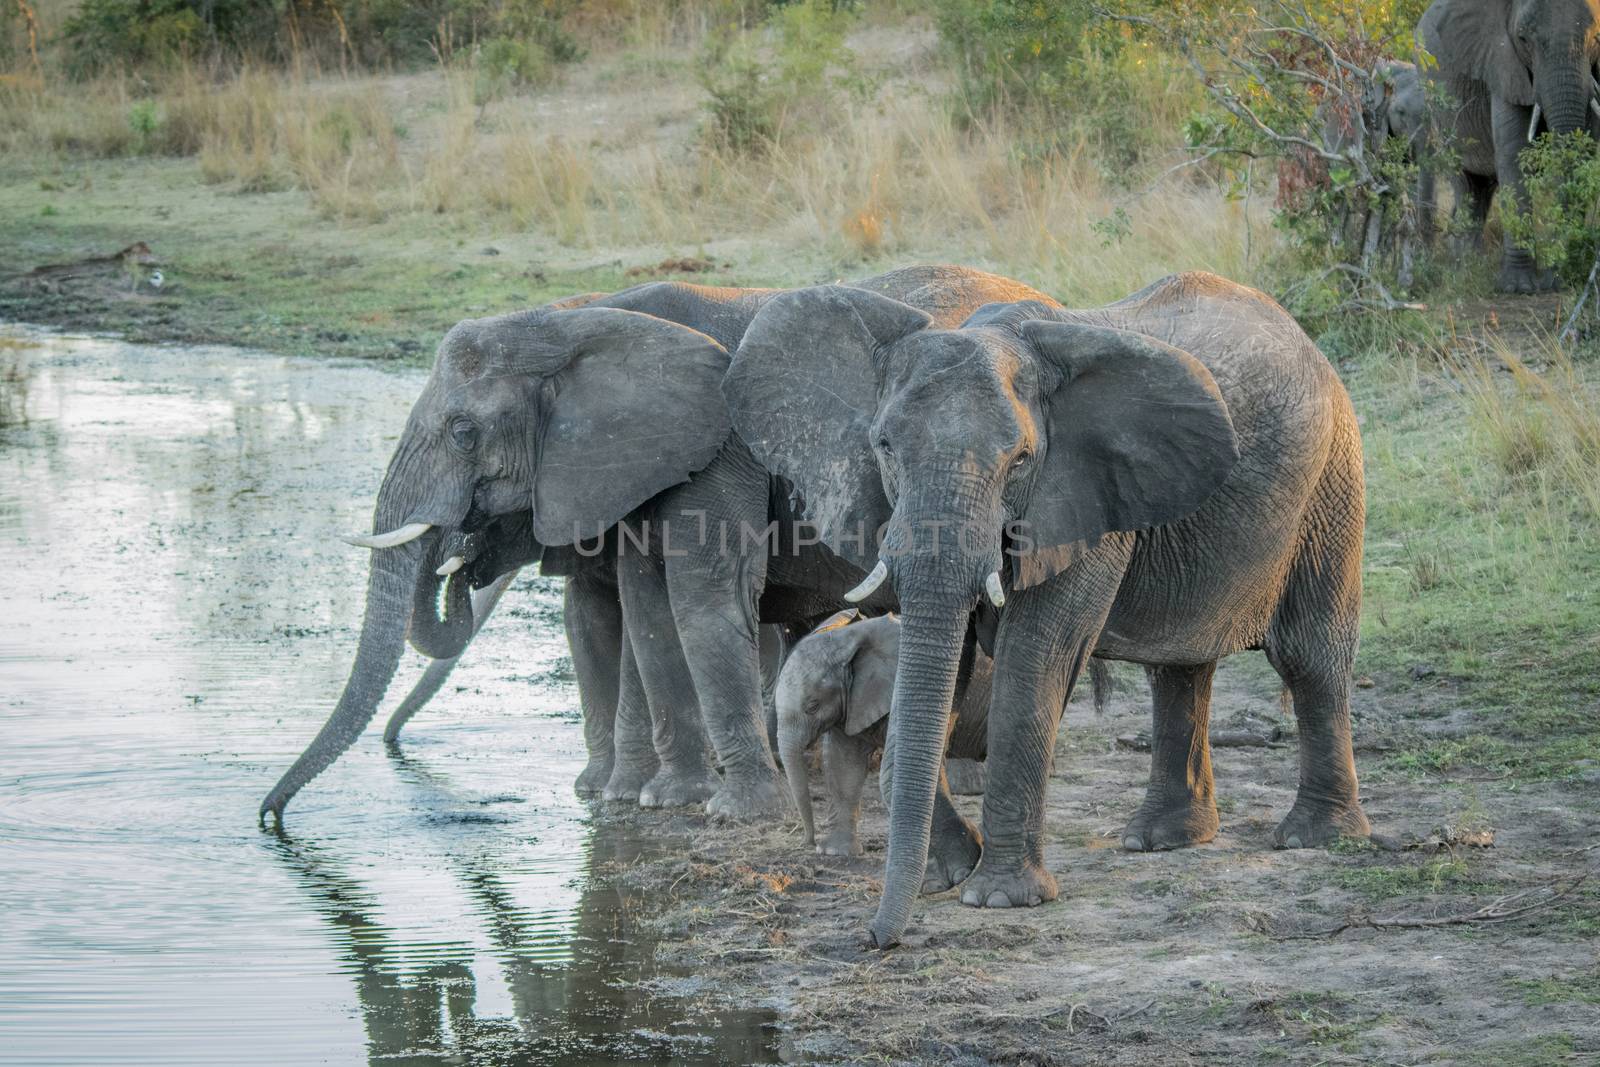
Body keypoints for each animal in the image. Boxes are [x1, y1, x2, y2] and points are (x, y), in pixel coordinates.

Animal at [732, 271, 1369, 947]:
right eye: (883, 445)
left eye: (1020, 461)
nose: (877, 940)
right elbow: (940, 663)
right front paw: (945, 875)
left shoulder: (1084, 499)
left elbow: (1035, 659)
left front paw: (998, 898)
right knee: (1178, 667)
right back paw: (1162, 840)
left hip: (1332, 481)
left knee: (1309, 657)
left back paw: (1314, 837)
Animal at [1414, 0, 1600, 289]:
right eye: (1523, 39)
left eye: (1596, 38)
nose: (1555, 277)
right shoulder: (1501, 64)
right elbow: (1514, 153)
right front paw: (1519, 286)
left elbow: (1585, 144)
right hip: (1436, 103)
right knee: (1466, 184)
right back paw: (1469, 266)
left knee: (1483, 188)